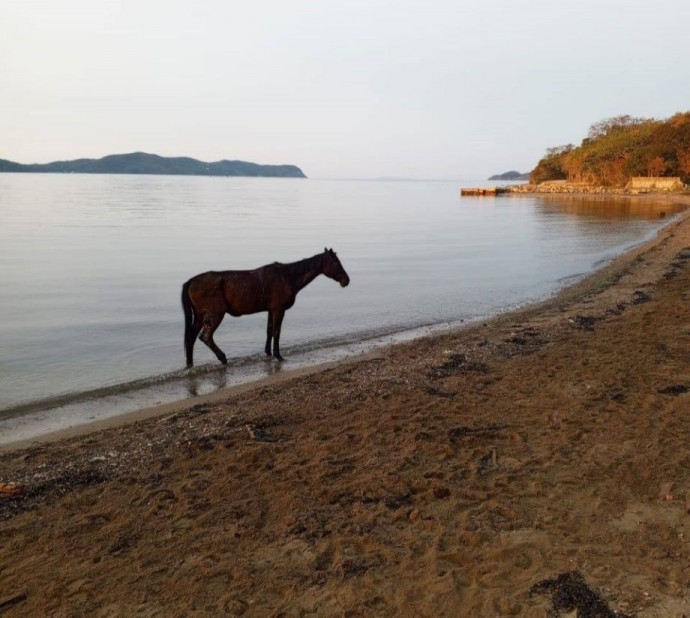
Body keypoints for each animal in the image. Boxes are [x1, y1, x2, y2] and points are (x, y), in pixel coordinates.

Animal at [180, 248, 350, 366]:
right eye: (336, 263)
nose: (346, 280)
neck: (287, 277)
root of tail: (191, 281)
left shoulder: (270, 309)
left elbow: (269, 330)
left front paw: (268, 352)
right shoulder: (278, 309)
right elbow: (276, 332)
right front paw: (278, 355)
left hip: (200, 315)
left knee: (191, 337)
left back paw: (190, 363)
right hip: (214, 314)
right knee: (205, 337)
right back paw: (222, 358)